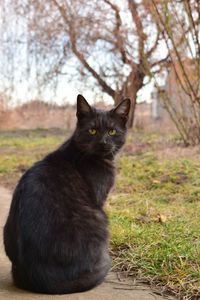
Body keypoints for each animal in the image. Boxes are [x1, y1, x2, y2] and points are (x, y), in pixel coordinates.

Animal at [3, 95, 131, 294]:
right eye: (92, 131)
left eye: (111, 131)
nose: (103, 142)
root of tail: (41, 277)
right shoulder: (99, 198)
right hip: (100, 217)